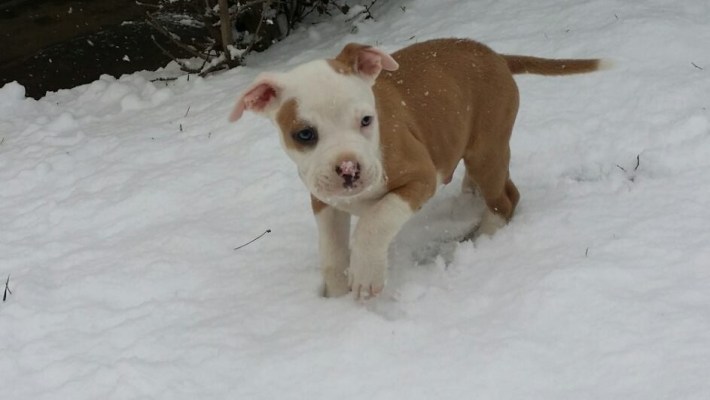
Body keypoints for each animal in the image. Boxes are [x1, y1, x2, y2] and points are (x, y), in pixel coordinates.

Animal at [229, 38, 602, 299]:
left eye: (367, 120)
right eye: (304, 134)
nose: (349, 168)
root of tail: (496, 56)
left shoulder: (420, 177)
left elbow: (374, 222)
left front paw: (364, 274)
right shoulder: (324, 201)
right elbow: (331, 253)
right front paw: (336, 299)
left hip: (488, 150)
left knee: (507, 198)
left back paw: (484, 236)